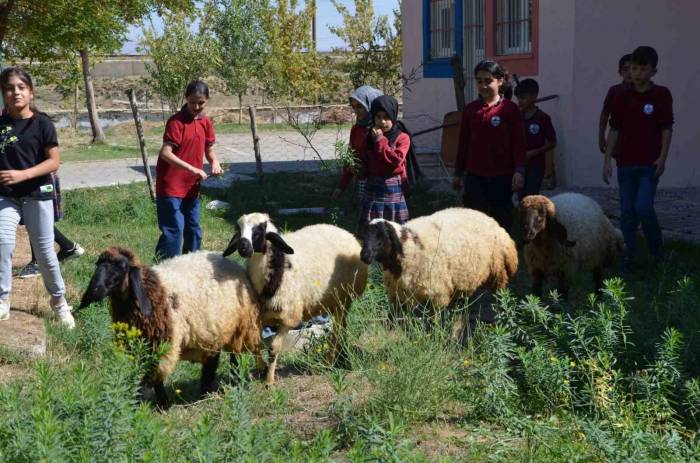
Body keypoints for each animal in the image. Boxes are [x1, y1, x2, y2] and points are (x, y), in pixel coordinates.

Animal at [76, 246, 262, 406]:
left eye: (122, 267)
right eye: (98, 265)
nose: (95, 290)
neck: (150, 291)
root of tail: (231, 262)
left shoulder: (162, 345)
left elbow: (151, 377)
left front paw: (148, 403)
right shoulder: (143, 346)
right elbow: (153, 378)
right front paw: (161, 403)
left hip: (241, 328)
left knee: (236, 359)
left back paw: (234, 384)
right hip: (213, 330)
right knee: (212, 361)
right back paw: (205, 392)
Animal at [224, 215, 370, 388]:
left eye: (260, 230)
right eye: (239, 230)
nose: (243, 247)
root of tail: (344, 232)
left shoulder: (289, 318)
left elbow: (273, 348)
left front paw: (269, 380)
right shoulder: (260, 318)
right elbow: (255, 345)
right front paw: (262, 369)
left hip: (343, 298)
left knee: (338, 330)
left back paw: (331, 361)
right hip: (334, 302)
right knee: (342, 328)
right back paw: (341, 355)